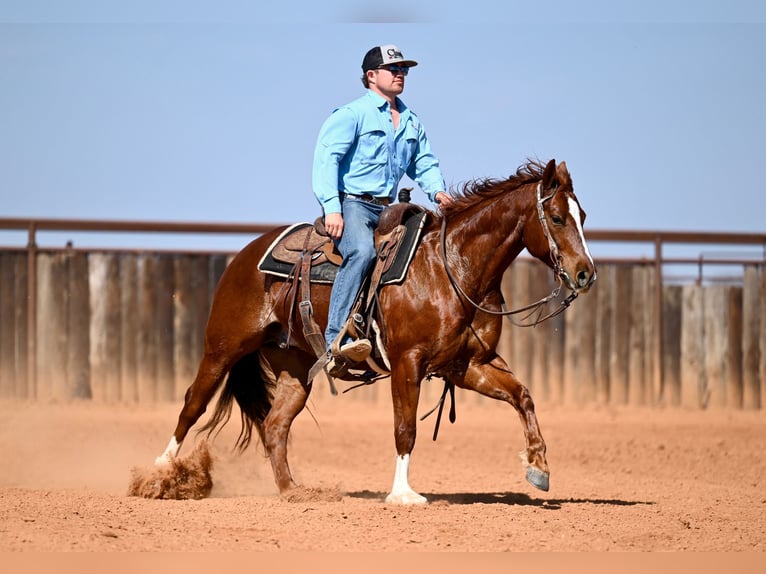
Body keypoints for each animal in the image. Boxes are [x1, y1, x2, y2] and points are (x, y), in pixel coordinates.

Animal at [153, 158, 596, 504]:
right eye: (557, 218)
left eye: (584, 217)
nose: (585, 273)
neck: (451, 268)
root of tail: (244, 256)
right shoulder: (407, 362)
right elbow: (406, 428)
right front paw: (402, 494)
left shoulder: (467, 365)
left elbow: (523, 396)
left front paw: (539, 466)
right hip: (222, 348)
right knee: (193, 404)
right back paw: (159, 474)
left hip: (294, 366)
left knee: (276, 426)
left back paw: (292, 490)